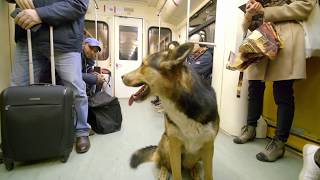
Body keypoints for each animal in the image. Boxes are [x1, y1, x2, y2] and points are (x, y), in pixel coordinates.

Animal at [121, 43, 219, 179]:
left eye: (143, 64)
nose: (121, 76)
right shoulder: (174, 145)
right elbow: (176, 174)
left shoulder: (209, 147)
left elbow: (209, 175)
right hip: (167, 143)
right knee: (164, 164)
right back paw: (163, 173)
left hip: (198, 154)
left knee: (192, 165)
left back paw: (195, 171)